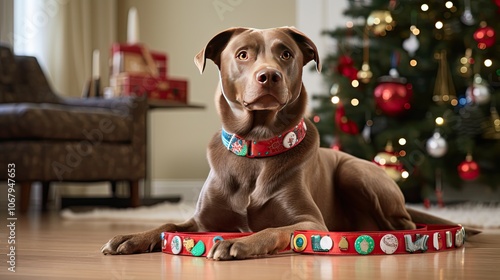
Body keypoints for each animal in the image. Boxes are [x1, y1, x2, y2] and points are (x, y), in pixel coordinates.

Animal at [101, 26, 468, 260]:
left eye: (286, 54)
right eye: (243, 55)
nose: (269, 76)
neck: (255, 147)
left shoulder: (309, 222)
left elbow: (276, 230)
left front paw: (240, 244)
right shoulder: (202, 223)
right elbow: (167, 225)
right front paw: (131, 238)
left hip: (356, 174)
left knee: (405, 224)